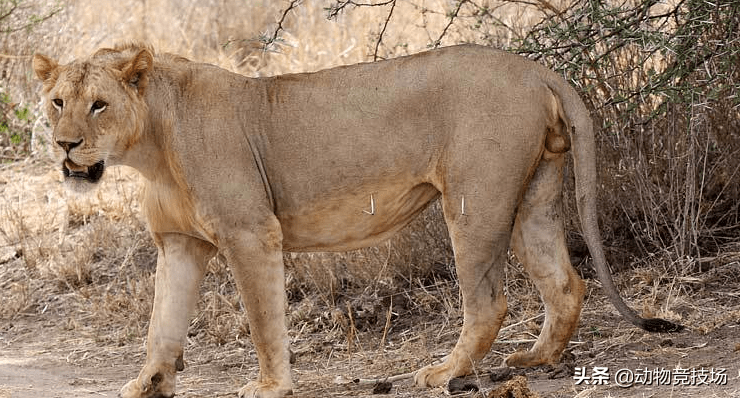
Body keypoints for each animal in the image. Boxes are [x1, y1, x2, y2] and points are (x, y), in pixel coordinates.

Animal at [34, 43, 684, 398]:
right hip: (535, 198)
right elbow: (161, 325)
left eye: (99, 105)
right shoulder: (179, 244)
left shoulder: (250, 233)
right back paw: (536, 361)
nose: (66, 145)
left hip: (475, 200)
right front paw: (150, 382)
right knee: (565, 283)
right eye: (57, 102)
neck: (151, 147)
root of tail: (537, 70)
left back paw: (443, 372)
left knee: (489, 301)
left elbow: (263, 320)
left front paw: (269, 385)